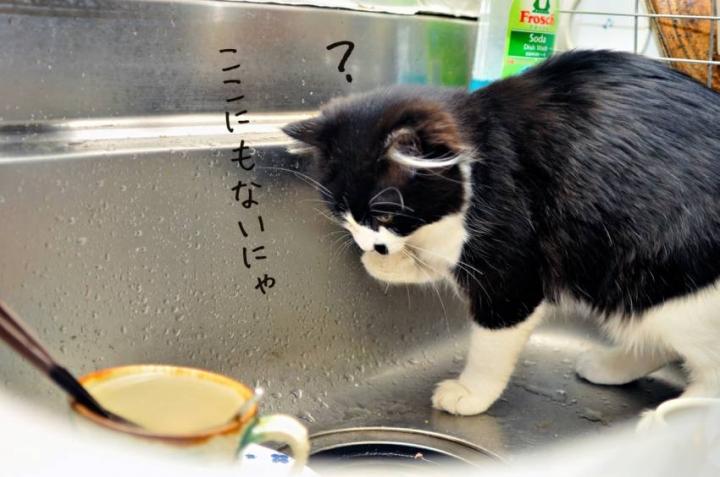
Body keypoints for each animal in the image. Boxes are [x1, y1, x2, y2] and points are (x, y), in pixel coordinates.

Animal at [282, 50, 720, 416]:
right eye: (343, 216)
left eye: (386, 215)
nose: (367, 243)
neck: (484, 152)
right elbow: (435, 256)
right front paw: (386, 263)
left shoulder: (510, 269)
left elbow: (492, 341)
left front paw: (470, 393)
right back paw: (608, 365)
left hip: (664, 284)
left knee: (707, 369)